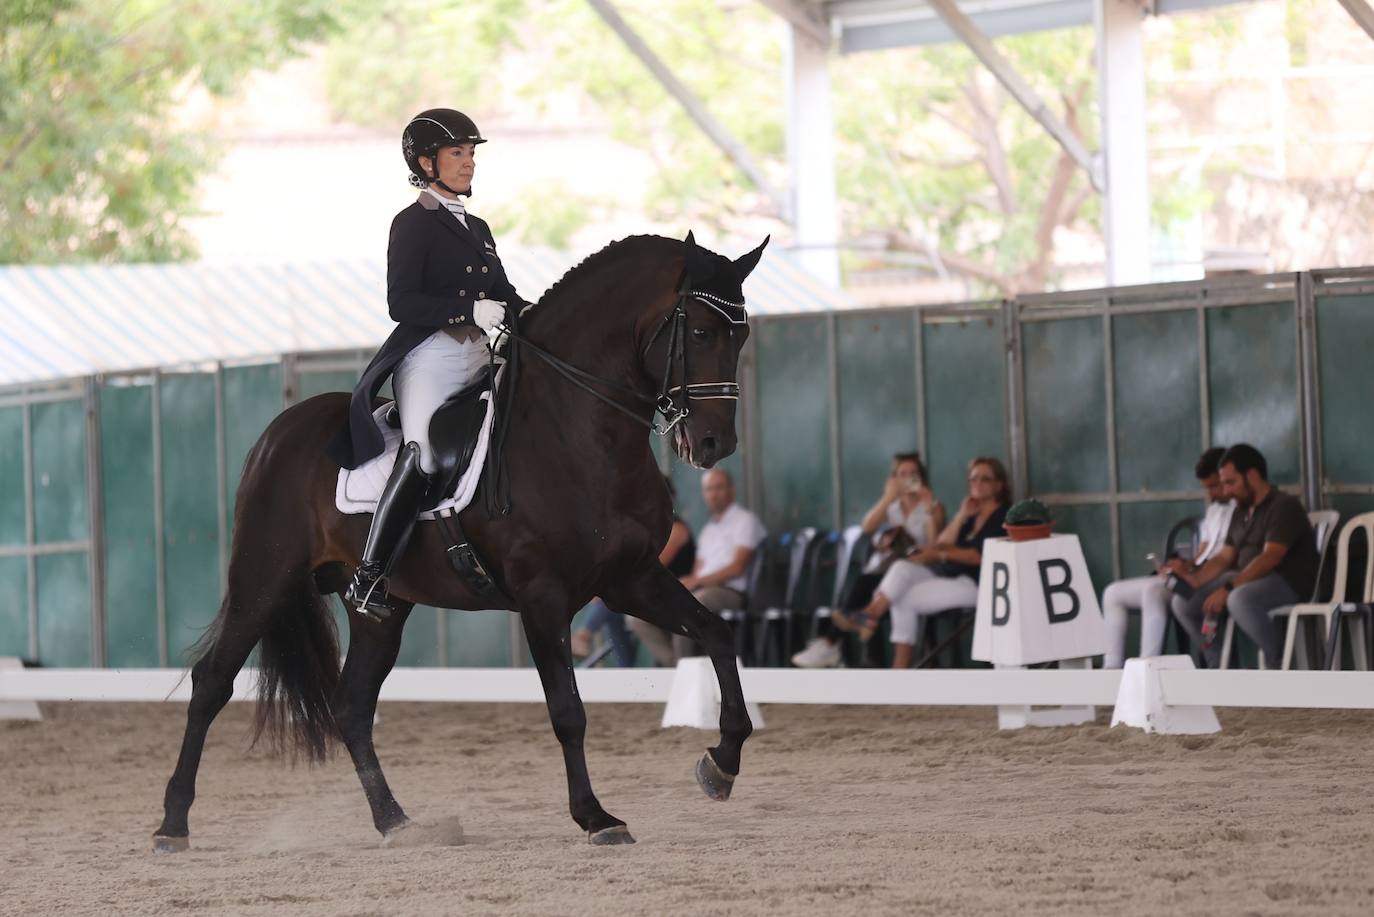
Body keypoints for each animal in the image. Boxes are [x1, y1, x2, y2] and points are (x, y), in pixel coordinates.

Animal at [155, 233, 769, 852]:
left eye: (741, 335)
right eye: (700, 333)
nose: (714, 444)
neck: (577, 431)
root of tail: (277, 433)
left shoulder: (631, 579)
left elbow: (717, 635)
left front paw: (721, 764)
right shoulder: (542, 596)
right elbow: (567, 711)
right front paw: (596, 817)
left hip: (383, 609)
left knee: (352, 706)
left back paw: (396, 821)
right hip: (264, 578)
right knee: (213, 683)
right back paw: (172, 824)